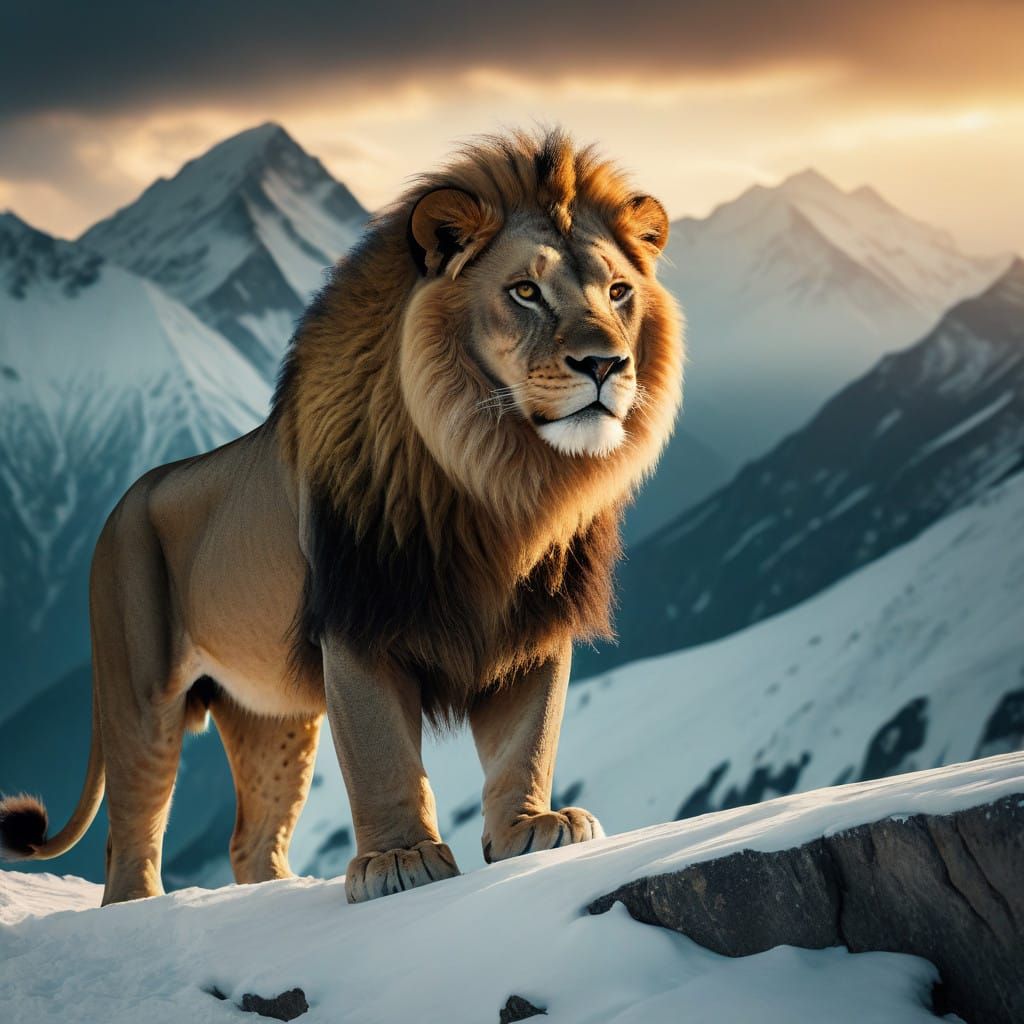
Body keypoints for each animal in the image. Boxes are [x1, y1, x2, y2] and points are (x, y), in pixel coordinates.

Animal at [0, 128, 683, 906]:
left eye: (619, 291)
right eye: (525, 291)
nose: (605, 365)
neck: (500, 483)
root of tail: (123, 501)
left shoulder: (534, 620)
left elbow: (528, 739)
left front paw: (533, 830)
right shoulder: (359, 617)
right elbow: (381, 753)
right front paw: (400, 861)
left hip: (272, 716)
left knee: (250, 839)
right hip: (140, 688)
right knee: (131, 839)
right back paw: (145, 910)